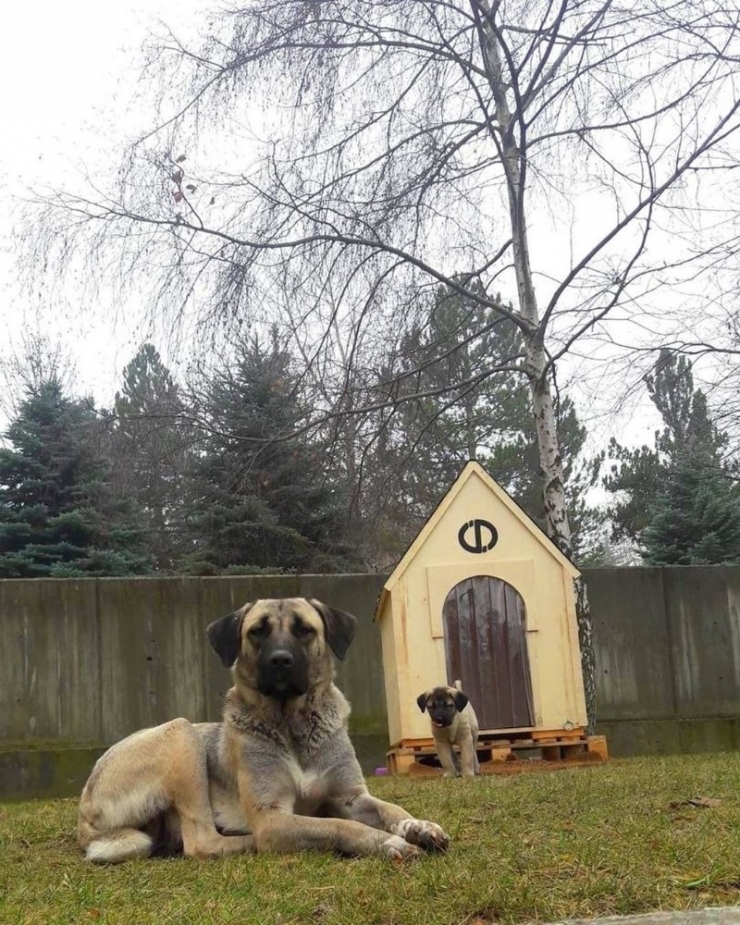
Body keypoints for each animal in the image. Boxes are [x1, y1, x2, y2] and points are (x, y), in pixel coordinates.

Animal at [78, 596, 448, 864]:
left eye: (304, 630)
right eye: (257, 631)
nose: (281, 660)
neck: (293, 723)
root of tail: (84, 809)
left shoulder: (352, 796)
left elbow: (390, 810)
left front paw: (419, 826)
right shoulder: (273, 818)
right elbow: (339, 825)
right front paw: (389, 842)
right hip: (182, 734)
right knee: (202, 842)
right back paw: (246, 841)